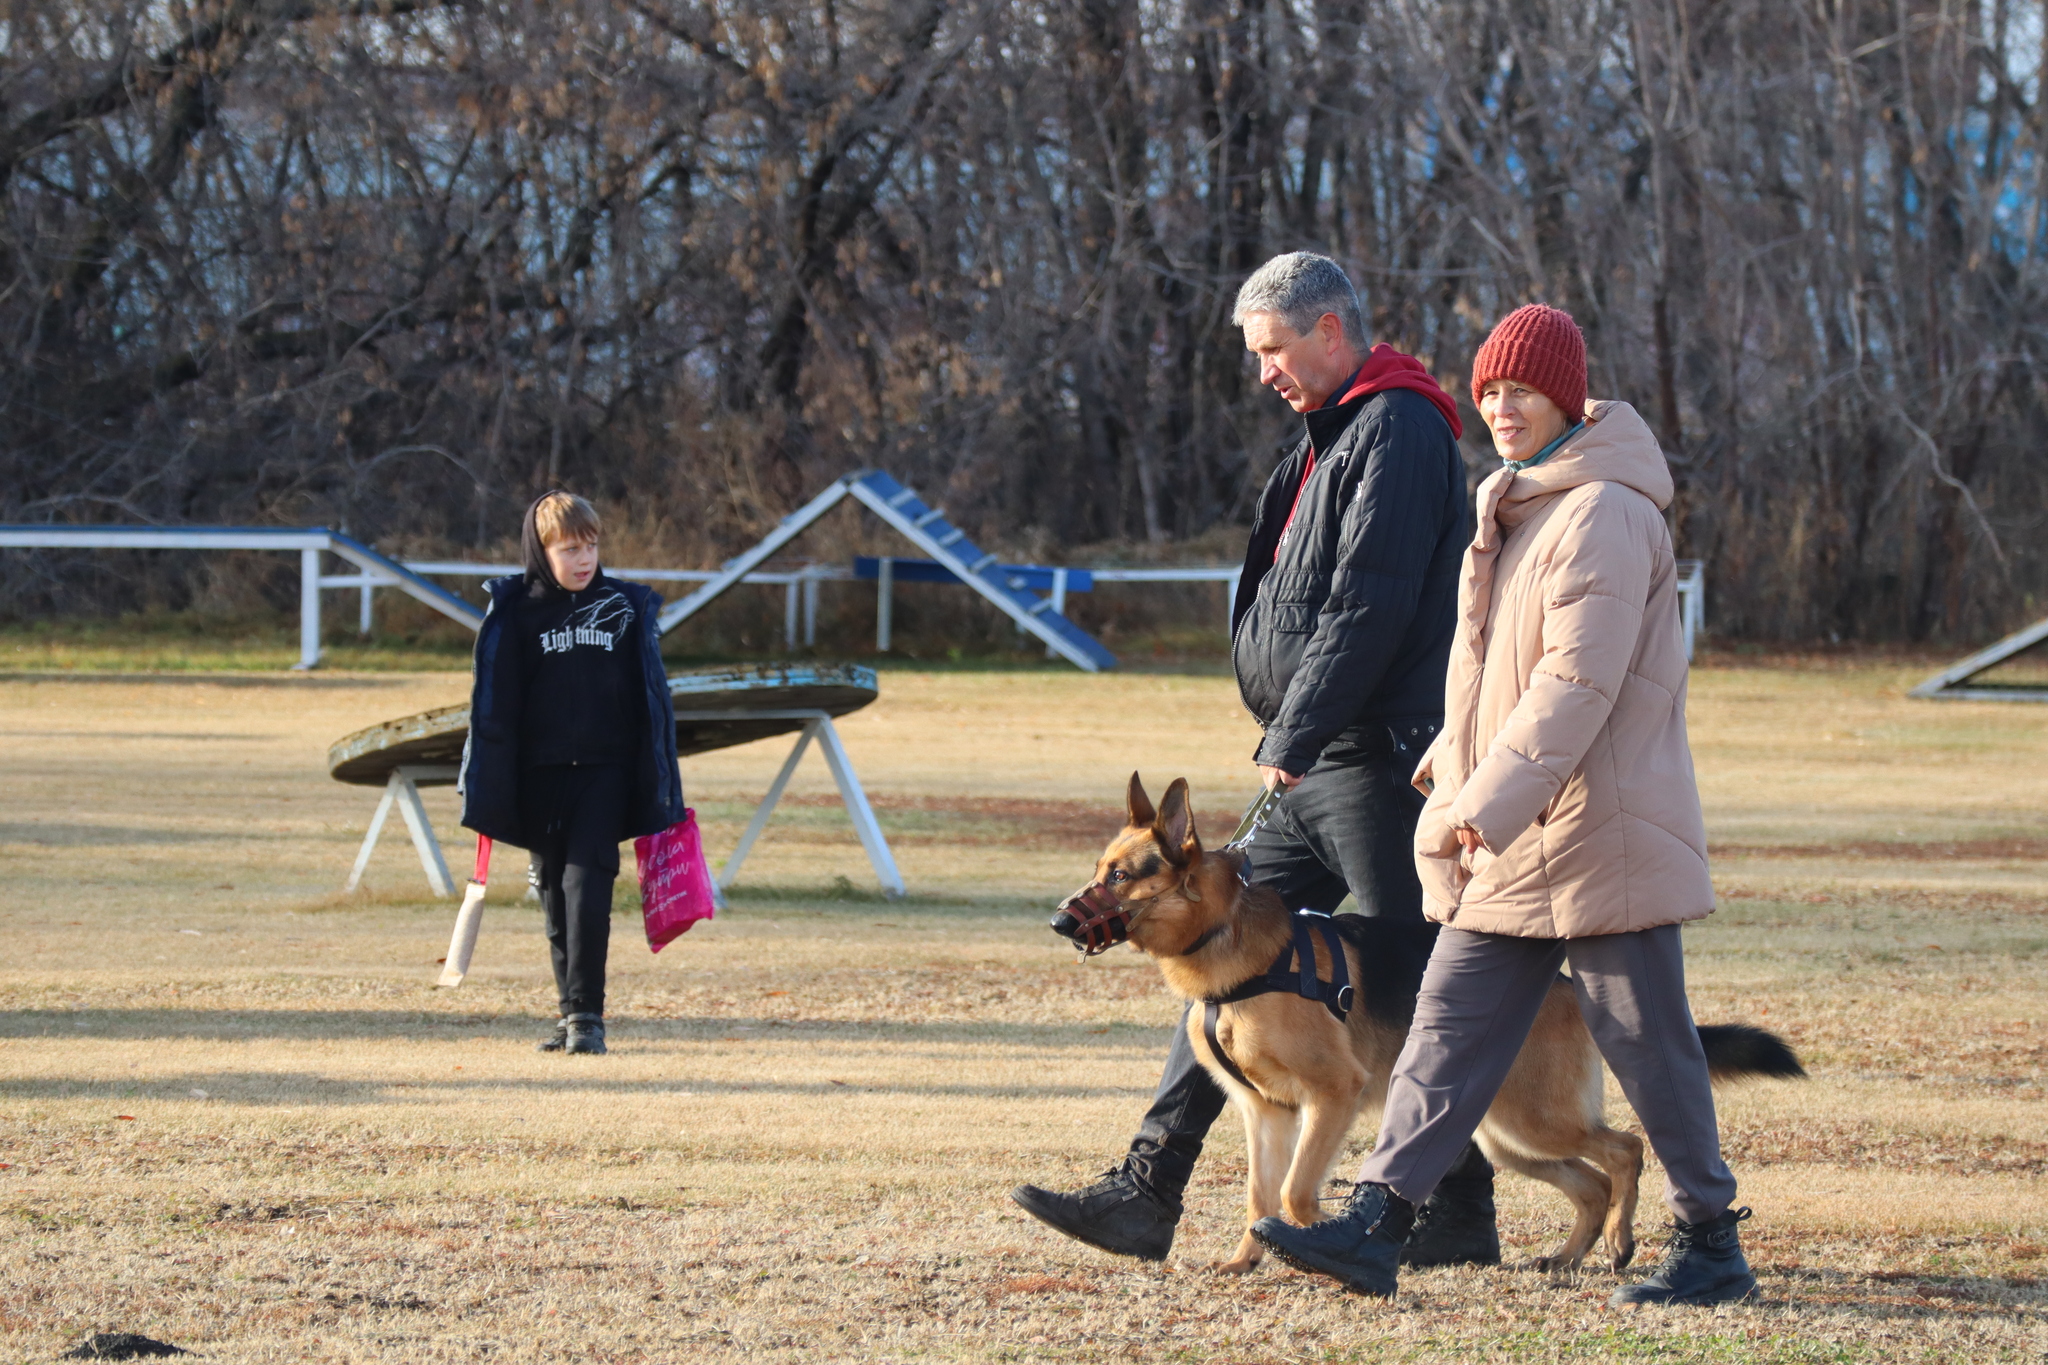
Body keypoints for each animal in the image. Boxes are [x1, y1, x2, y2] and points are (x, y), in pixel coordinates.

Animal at [1048, 777, 1802, 1285]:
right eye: (1100, 870)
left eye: (1121, 876)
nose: (1058, 921)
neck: (1232, 947)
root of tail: (1562, 985)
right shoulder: (1266, 1112)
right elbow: (1260, 1194)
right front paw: (1247, 1258)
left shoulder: (1331, 1097)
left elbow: (1293, 1194)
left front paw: (1326, 1240)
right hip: (1507, 1134)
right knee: (1590, 1182)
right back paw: (1568, 1255)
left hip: (1535, 1120)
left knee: (1625, 1150)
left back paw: (1618, 1241)